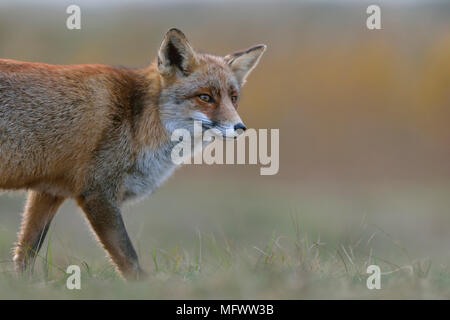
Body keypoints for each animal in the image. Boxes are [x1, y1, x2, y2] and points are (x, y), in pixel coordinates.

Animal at [0, 28, 264, 278]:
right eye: (205, 97)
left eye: (233, 98)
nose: (240, 127)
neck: (138, 121)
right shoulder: (98, 192)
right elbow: (129, 259)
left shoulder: (48, 191)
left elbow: (25, 254)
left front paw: (25, 286)